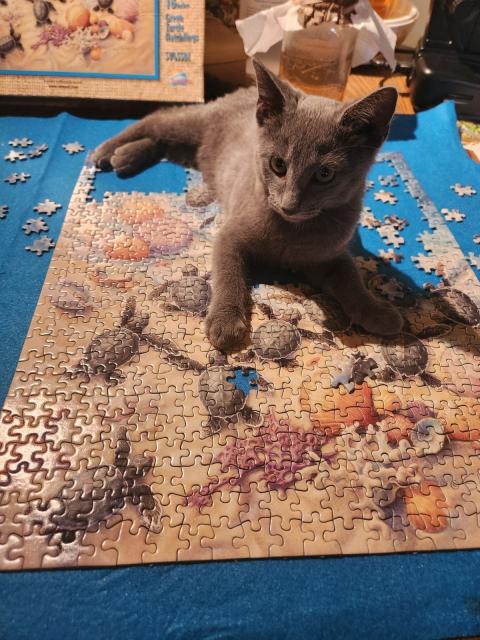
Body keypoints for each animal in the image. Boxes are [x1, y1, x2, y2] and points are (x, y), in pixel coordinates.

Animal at [92, 58, 404, 350]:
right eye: (278, 164)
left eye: (325, 174)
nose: (289, 205)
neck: (291, 233)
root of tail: (245, 87)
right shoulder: (229, 236)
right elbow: (228, 275)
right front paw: (226, 321)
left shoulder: (330, 255)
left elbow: (351, 279)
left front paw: (377, 312)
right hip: (196, 123)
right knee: (158, 118)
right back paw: (106, 151)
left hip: (199, 154)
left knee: (166, 143)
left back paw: (126, 157)